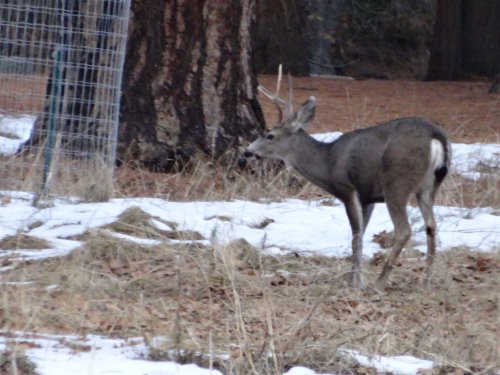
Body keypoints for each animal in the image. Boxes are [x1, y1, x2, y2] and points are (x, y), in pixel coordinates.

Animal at [244, 67, 452, 290]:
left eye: (270, 135)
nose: (248, 151)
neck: (327, 162)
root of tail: (435, 136)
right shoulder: (368, 196)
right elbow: (360, 235)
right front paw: (354, 277)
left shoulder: (347, 188)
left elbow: (355, 236)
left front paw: (355, 282)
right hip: (429, 185)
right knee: (431, 225)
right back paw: (426, 280)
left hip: (397, 182)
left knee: (404, 230)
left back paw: (380, 282)